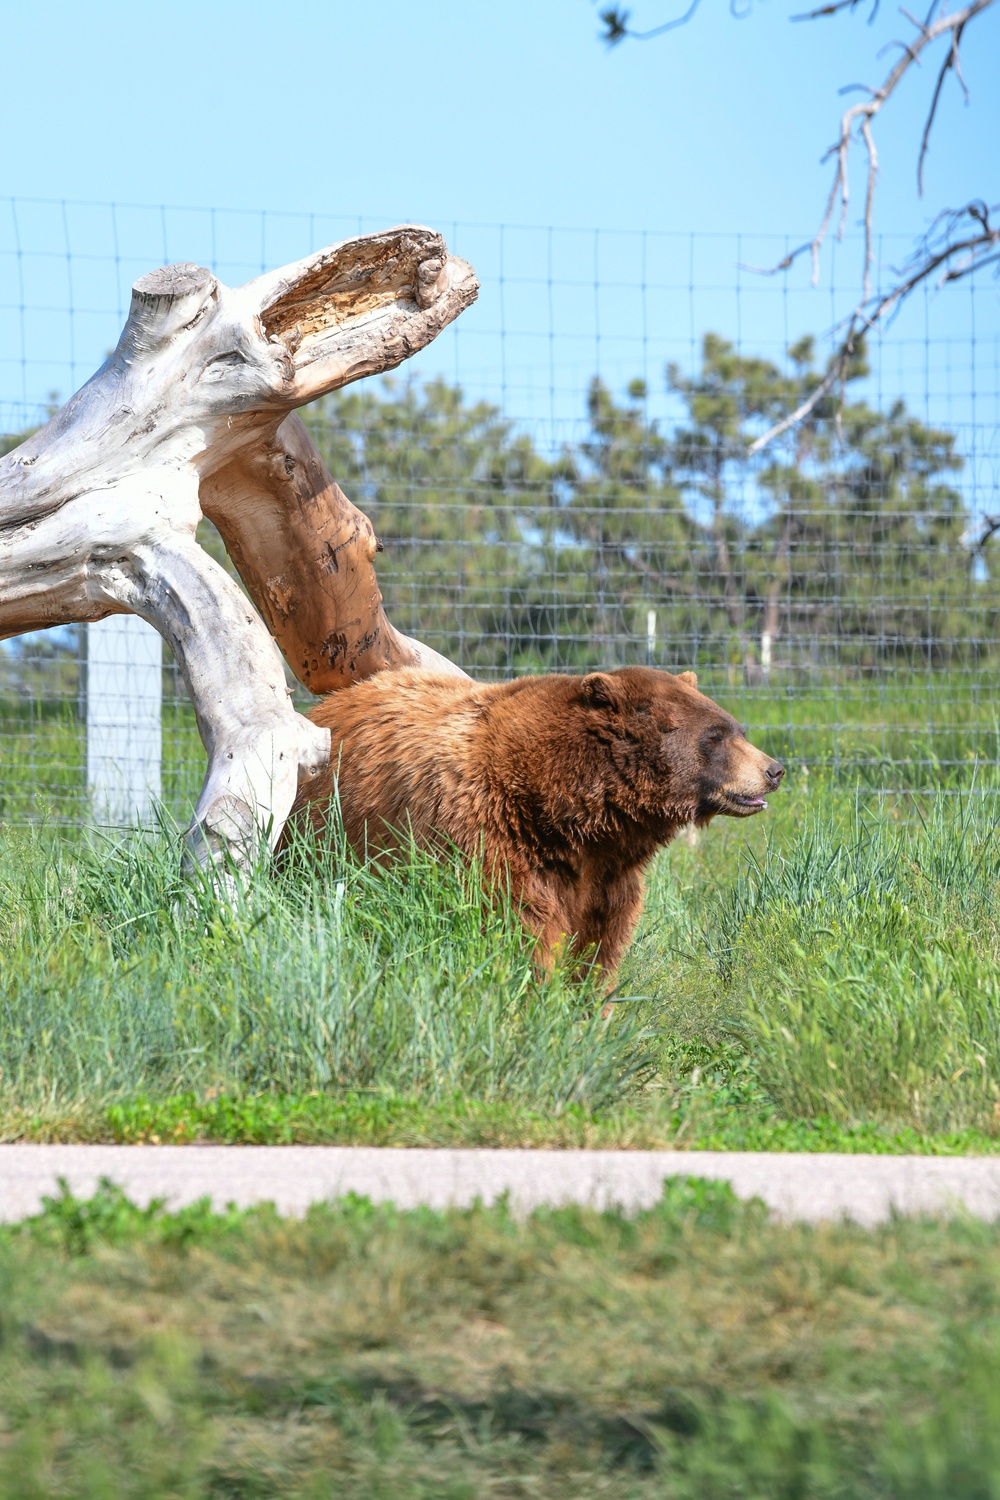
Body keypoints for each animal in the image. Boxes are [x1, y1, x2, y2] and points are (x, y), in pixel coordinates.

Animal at [281, 669, 779, 984]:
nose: (774, 769)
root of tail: (326, 705)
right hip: (321, 835)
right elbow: (517, 928)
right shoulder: (491, 838)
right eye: (716, 736)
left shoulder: (608, 875)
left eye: (736, 728)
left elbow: (600, 942)